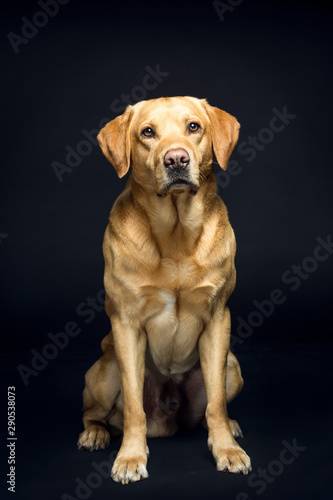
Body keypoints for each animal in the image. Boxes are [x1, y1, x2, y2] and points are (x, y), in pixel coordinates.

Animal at [77, 95, 249, 482]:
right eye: (147, 132)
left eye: (193, 127)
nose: (176, 159)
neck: (176, 234)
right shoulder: (126, 325)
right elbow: (133, 410)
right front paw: (130, 456)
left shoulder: (218, 319)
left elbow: (215, 405)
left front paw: (227, 449)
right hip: (105, 371)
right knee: (96, 413)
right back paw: (95, 433)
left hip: (232, 367)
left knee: (210, 407)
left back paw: (231, 427)